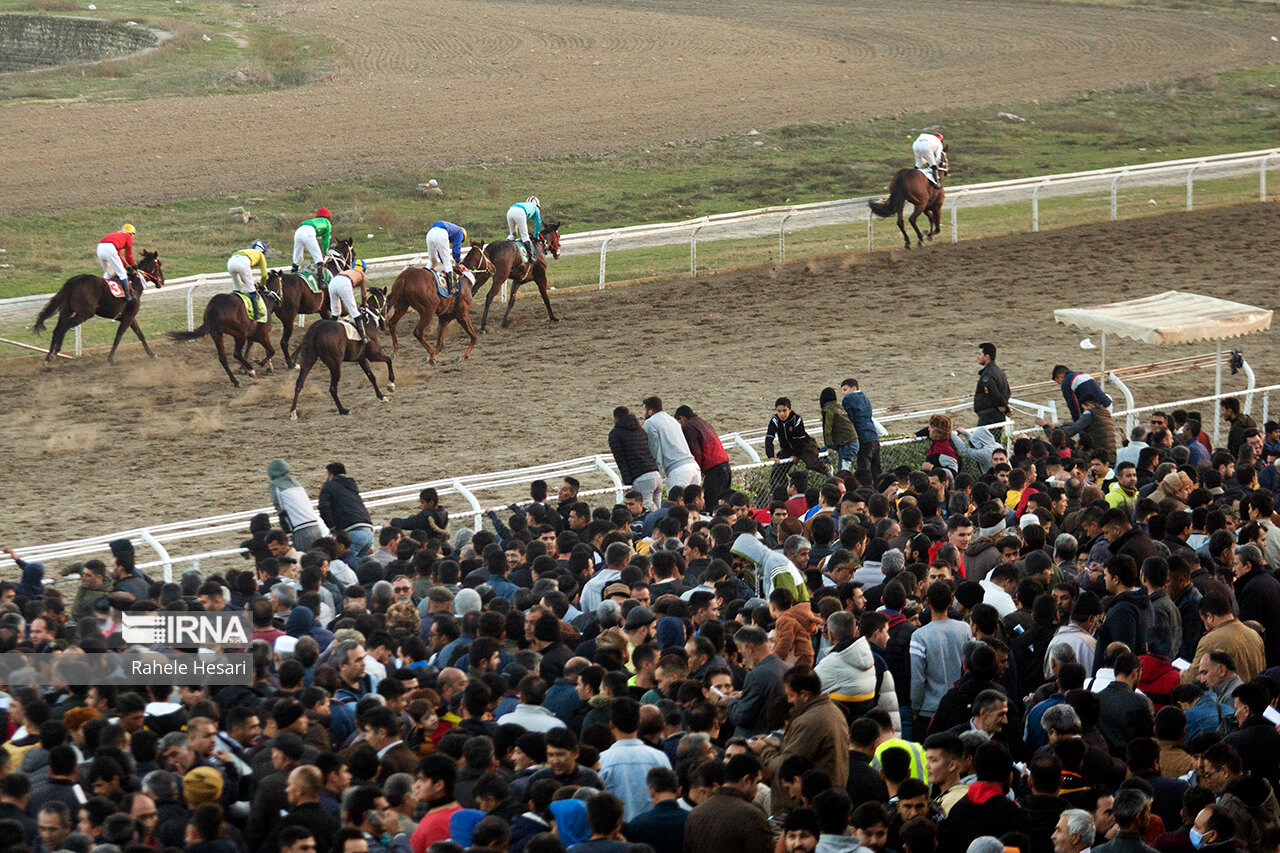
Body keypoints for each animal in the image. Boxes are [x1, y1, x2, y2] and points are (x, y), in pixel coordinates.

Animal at [33, 249, 166, 361]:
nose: (163, 281)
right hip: (84, 314)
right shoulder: (128, 316)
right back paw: (55, 352)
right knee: (64, 327)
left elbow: (140, 335)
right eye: (159, 265)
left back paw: (49, 355)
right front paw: (111, 358)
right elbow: (118, 336)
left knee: (57, 329)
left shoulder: (130, 317)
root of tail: (73, 281)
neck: (134, 285)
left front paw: (152, 354)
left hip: (67, 310)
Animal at [259, 235, 353, 366]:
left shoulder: (323, 310)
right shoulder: (338, 307)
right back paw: (290, 363)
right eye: (353, 252)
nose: (352, 265)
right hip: (289, 318)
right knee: (283, 341)